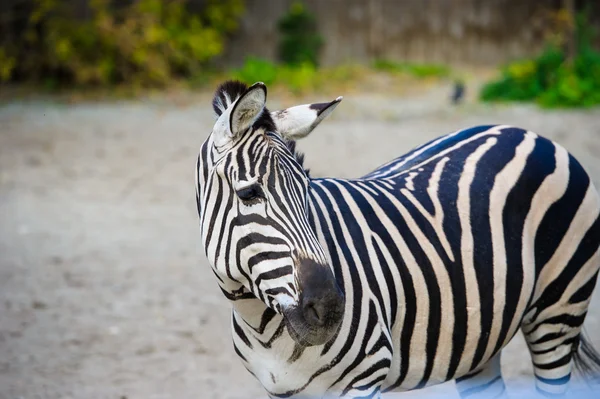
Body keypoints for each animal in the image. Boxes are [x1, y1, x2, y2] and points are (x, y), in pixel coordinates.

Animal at [196, 79, 600, 398]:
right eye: (249, 194)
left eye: (308, 189)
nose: (330, 310)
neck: (260, 322)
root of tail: (530, 134)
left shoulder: (365, 378)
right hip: (482, 336)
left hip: (559, 311)